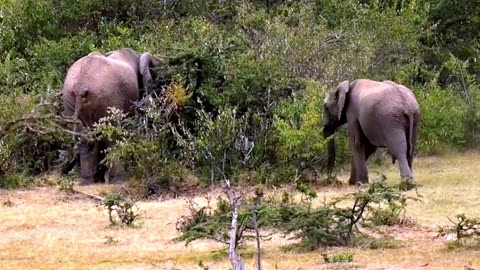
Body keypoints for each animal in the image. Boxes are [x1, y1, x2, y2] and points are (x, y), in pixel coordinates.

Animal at [61, 47, 163, 185]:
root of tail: (80, 87)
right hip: (107, 98)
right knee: (110, 135)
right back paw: (114, 177)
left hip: (69, 99)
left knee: (85, 137)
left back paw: (88, 180)